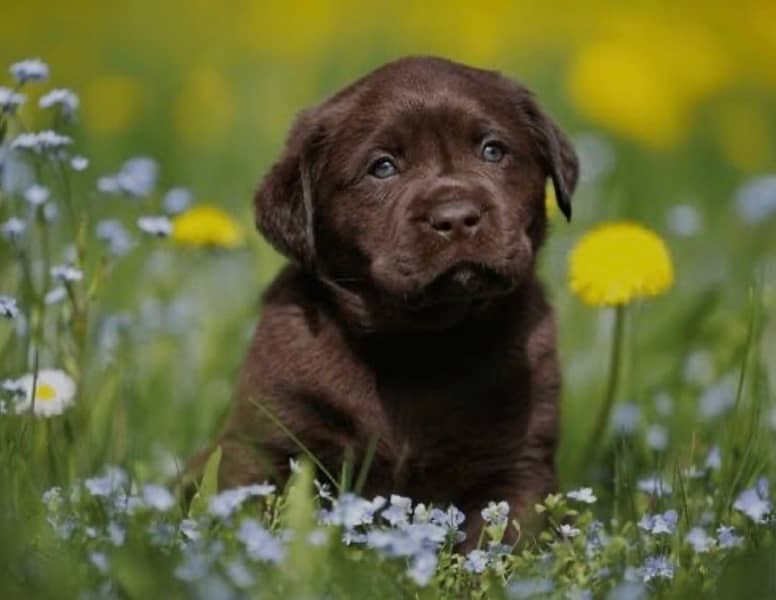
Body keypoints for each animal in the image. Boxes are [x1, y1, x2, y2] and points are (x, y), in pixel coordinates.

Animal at [212, 57, 576, 544]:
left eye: (492, 151)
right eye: (382, 168)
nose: (456, 217)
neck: (415, 345)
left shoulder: (520, 460)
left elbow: (502, 537)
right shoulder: (267, 440)